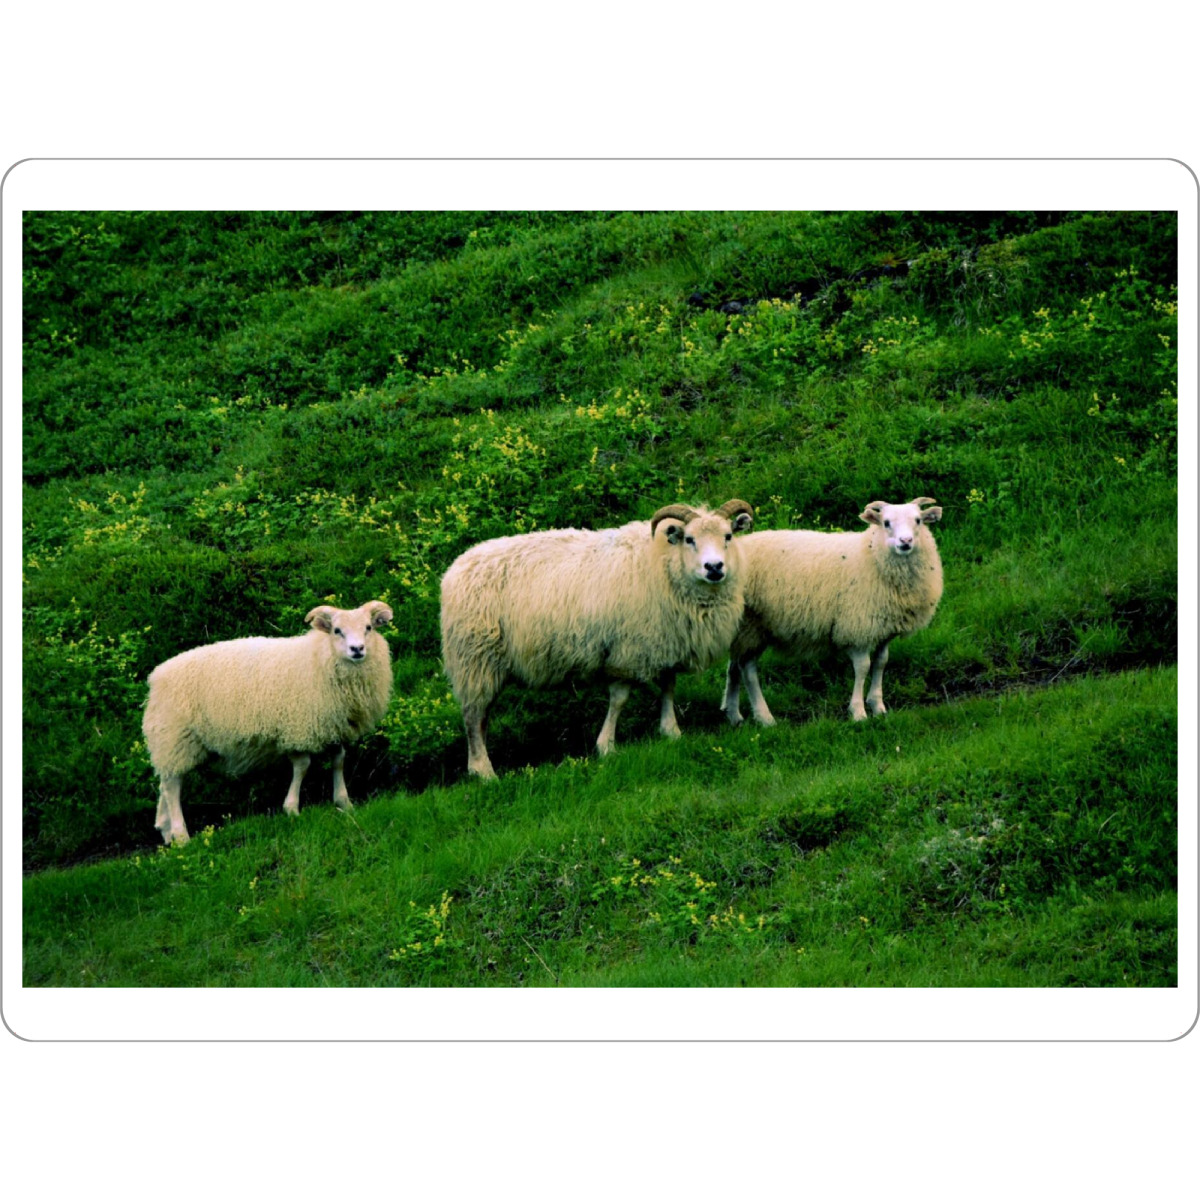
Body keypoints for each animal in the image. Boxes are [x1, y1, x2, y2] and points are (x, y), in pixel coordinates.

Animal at [142, 600, 394, 844]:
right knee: (172, 786)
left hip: (173, 742)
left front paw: (344, 802)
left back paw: (166, 831)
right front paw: (291, 809)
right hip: (176, 738)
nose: (357, 649)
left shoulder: (333, 725)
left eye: (368, 628)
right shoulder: (296, 727)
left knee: (166, 782)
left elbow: (339, 761)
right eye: (337, 631)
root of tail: (155, 678)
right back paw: (181, 835)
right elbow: (303, 766)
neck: (319, 658)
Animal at [440, 500, 755, 778]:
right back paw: (484, 772)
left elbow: (668, 687)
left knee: (481, 718)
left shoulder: (665, 641)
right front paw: (607, 747)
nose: (714, 567)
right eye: (689, 539)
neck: (663, 562)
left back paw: (477, 766)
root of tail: (454, 570)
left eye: (728, 536)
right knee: (473, 716)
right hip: (474, 659)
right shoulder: (626, 650)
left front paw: (670, 731)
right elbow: (619, 700)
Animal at [722, 498, 943, 726]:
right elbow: (863, 667)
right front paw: (858, 711)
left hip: (741, 628)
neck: (872, 555)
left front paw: (878, 706)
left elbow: (881, 663)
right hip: (752, 625)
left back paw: (733, 714)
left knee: (734, 666)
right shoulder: (857, 626)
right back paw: (765, 717)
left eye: (918, 520)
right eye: (886, 523)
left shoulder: (883, 629)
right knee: (748, 670)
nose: (906, 541)